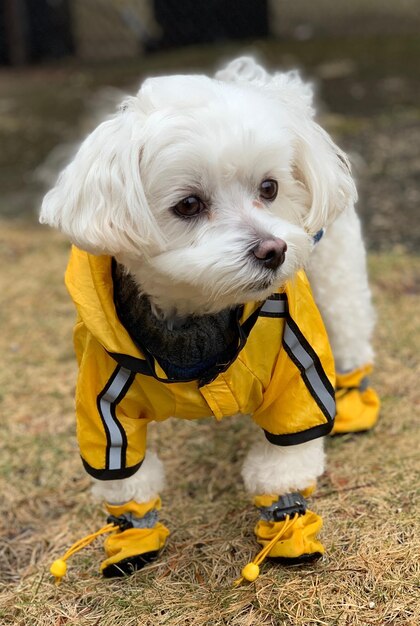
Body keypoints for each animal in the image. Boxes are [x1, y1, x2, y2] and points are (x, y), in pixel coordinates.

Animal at [41, 58, 378, 580]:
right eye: (188, 205)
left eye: (269, 188)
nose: (274, 250)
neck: (198, 314)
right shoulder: (102, 397)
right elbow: (126, 480)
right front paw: (132, 537)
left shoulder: (293, 365)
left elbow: (285, 459)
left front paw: (286, 525)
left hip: (336, 272)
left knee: (349, 330)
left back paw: (355, 398)